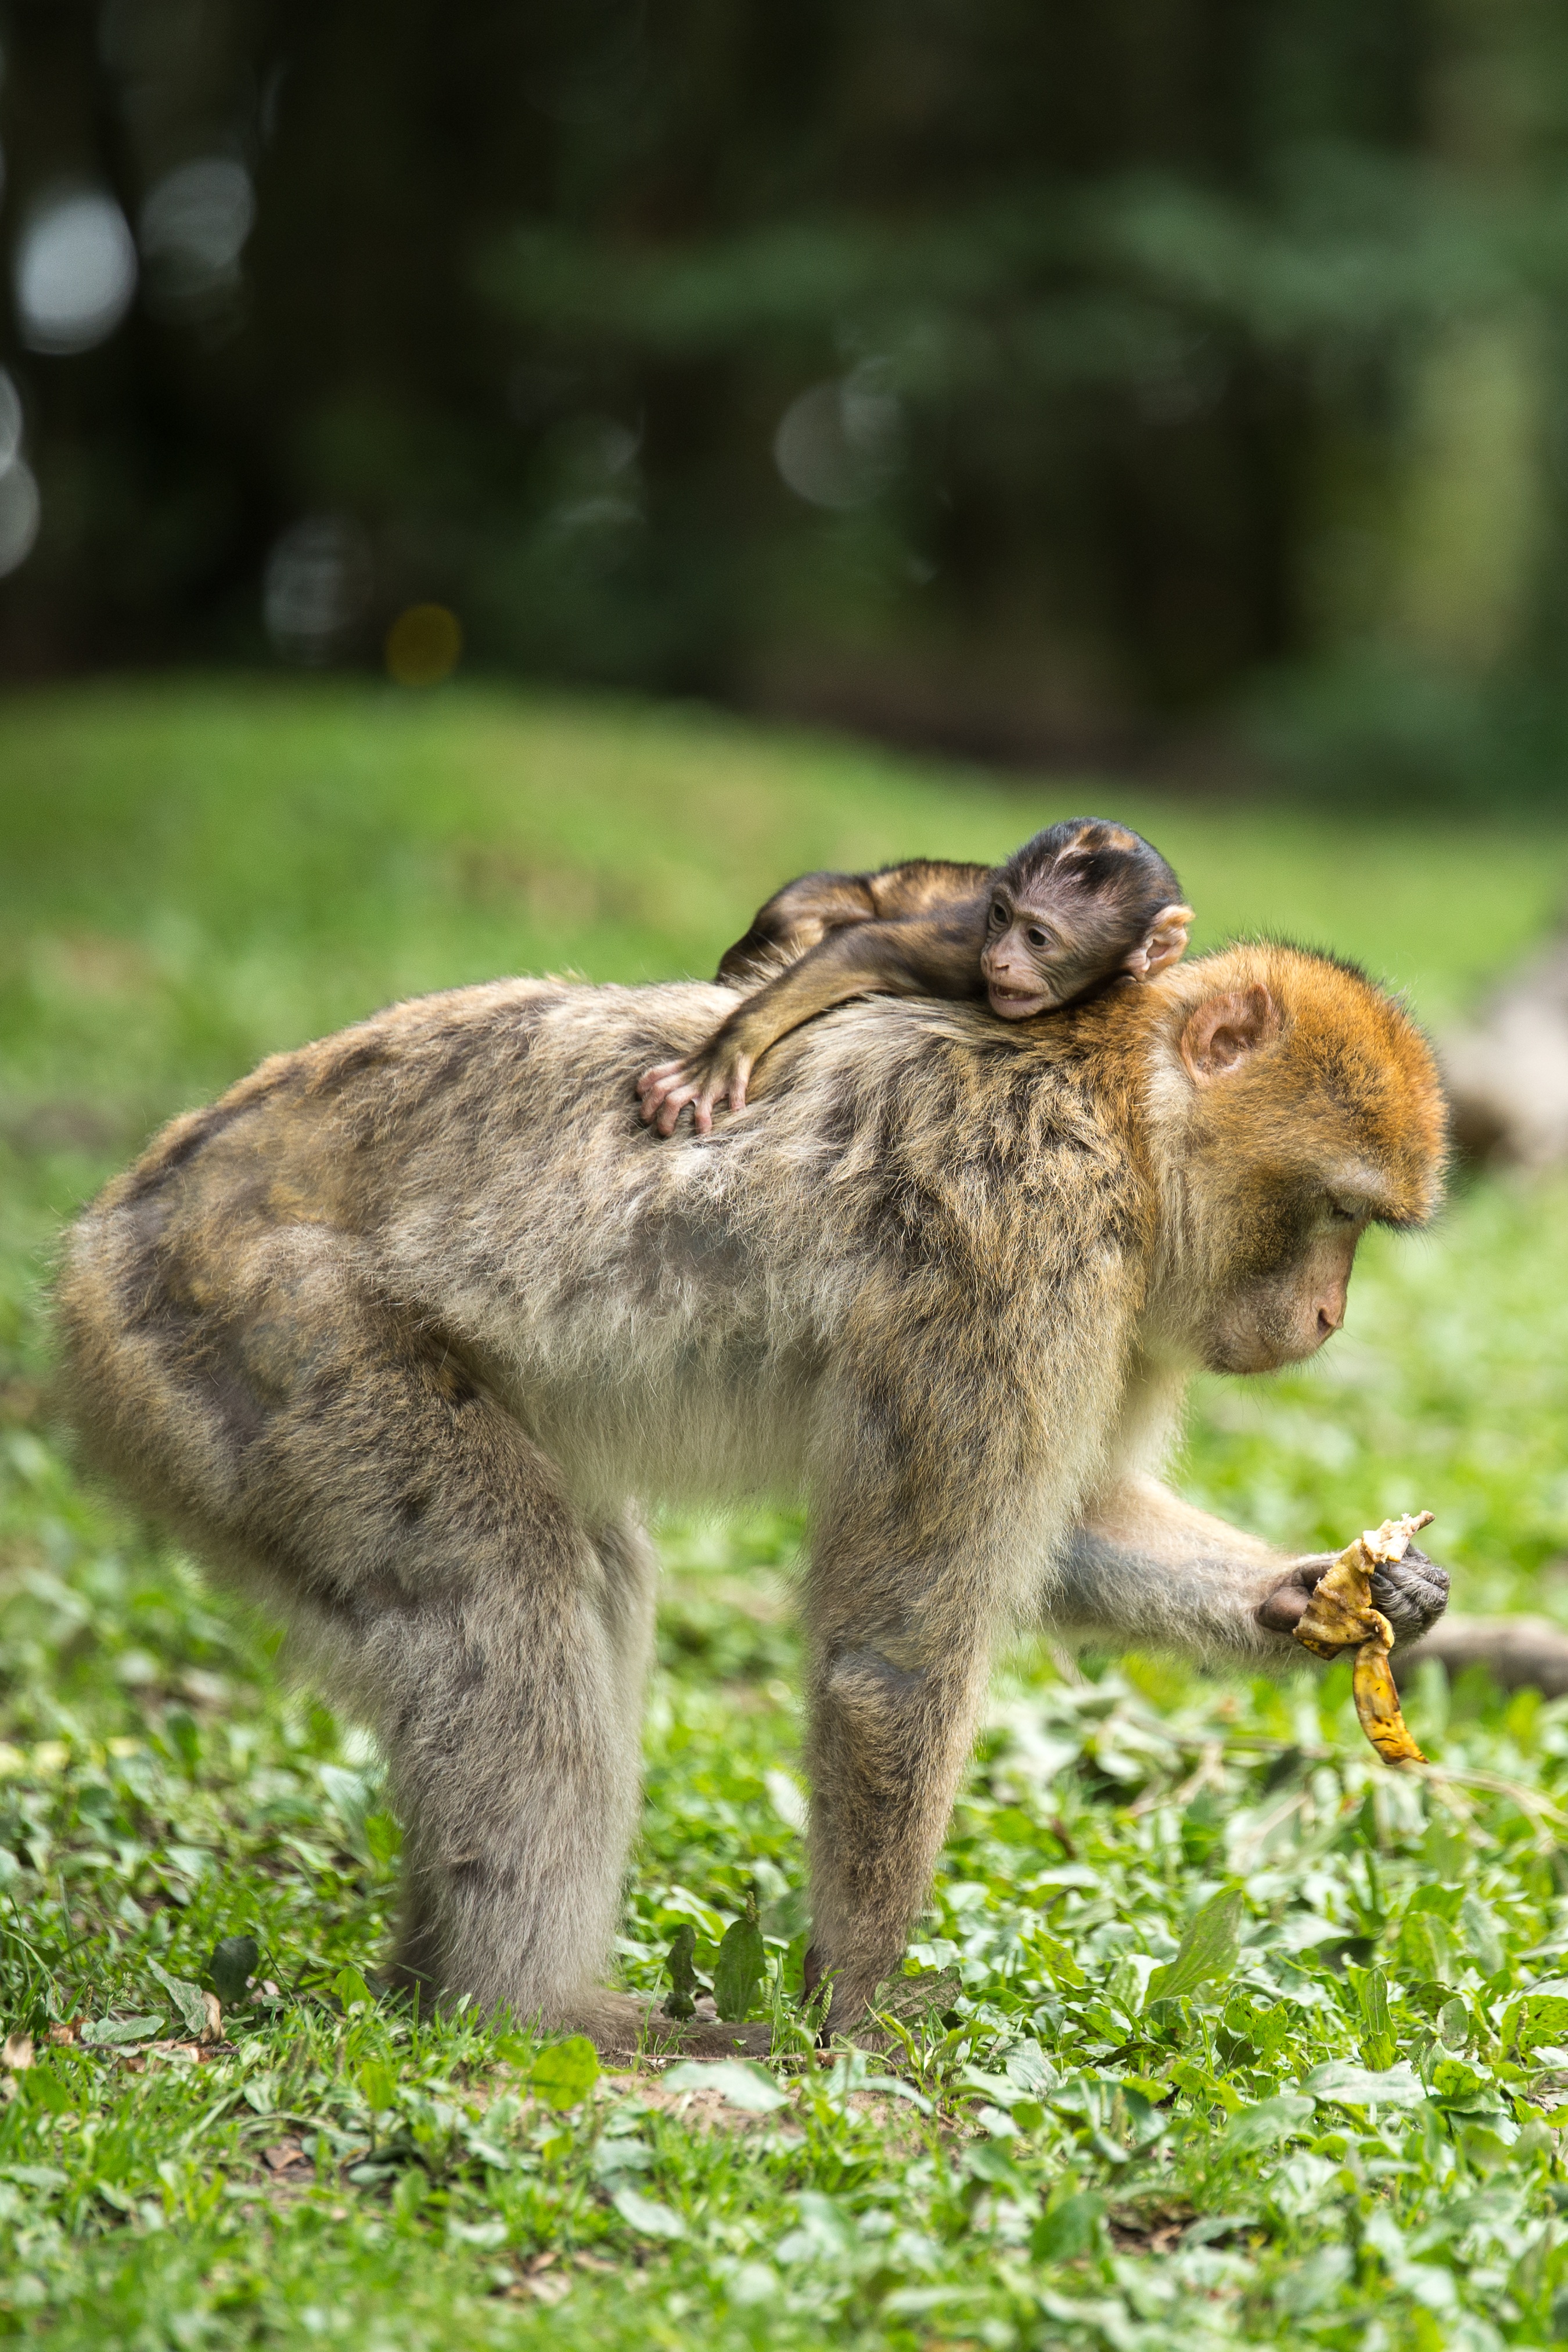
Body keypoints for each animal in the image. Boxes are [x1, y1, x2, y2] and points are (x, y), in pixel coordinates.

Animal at [639, 814, 1189, 1134]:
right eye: (1000, 916)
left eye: (1037, 938)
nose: (999, 958)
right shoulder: (966, 949)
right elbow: (866, 947)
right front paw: (723, 1054)